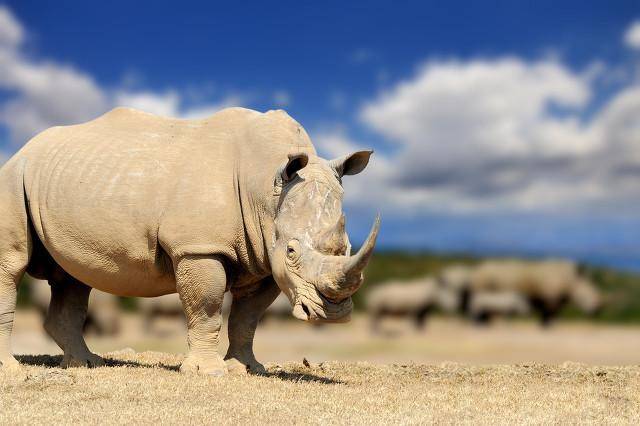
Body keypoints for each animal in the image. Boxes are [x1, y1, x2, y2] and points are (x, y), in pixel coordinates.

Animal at [0, 107, 380, 376]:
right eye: (291, 252)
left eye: (347, 248)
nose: (333, 315)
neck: (265, 186)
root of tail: (23, 149)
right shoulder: (199, 247)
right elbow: (207, 307)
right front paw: (208, 373)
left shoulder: (261, 257)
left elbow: (248, 317)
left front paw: (246, 368)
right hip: (14, 176)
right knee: (13, 265)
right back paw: (15, 371)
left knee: (72, 279)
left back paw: (87, 364)